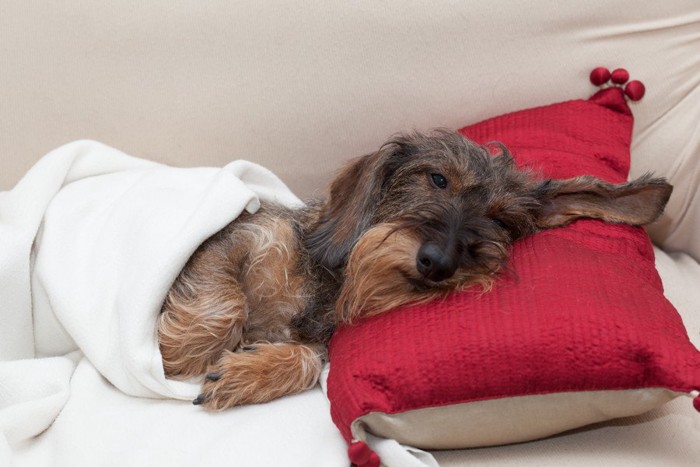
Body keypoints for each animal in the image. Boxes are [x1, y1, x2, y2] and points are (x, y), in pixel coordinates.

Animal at [159, 130, 672, 412]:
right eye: (438, 178)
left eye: (503, 221)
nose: (438, 263)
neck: (330, 283)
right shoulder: (237, 235)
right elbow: (225, 305)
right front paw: (177, 354)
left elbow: (309, 358)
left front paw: (246, 373)